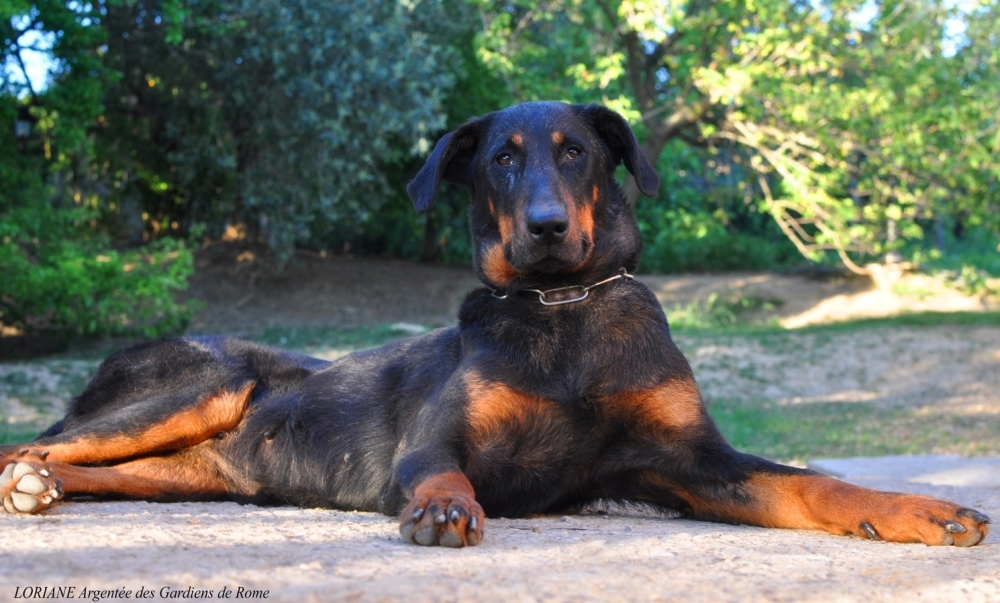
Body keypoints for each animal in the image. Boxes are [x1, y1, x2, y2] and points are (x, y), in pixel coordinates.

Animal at [0, 102, 988, 548]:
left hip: (202, 469)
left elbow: (814, 482)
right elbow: (443, 470)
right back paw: (27, 481)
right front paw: (445, 509)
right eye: (501, 162)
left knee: (86, 466)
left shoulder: (691, 462)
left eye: (576, 153)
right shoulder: (431, 442)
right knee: (31, 442)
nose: (546, 228)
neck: (564, 313)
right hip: (208, 378)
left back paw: (44, 489)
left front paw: (923, 508)